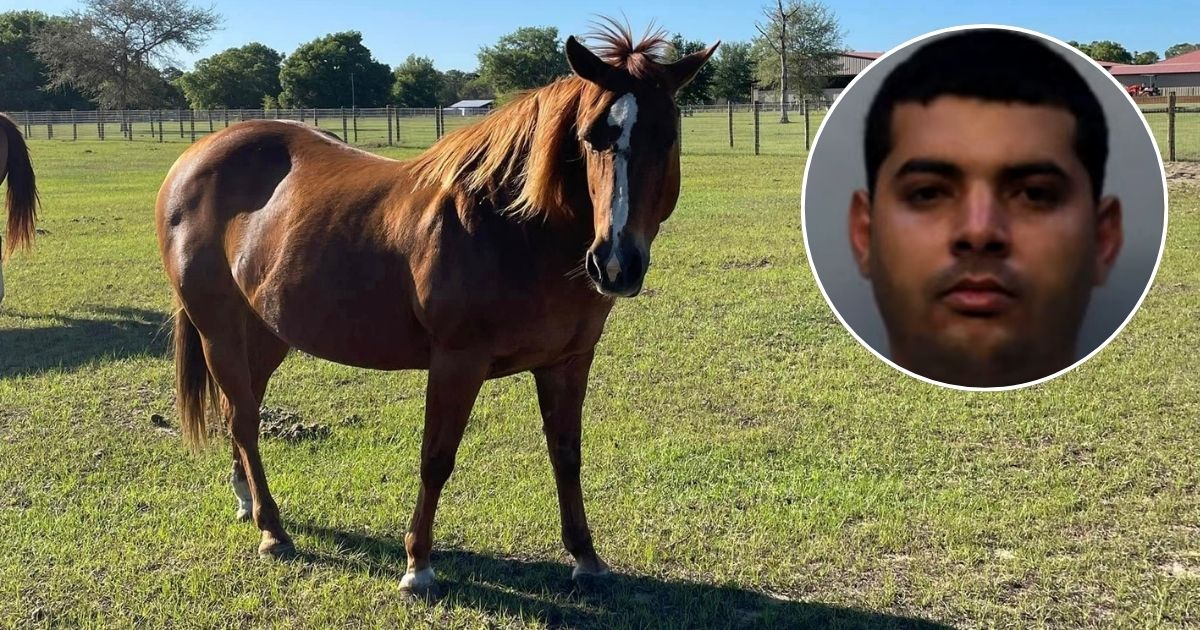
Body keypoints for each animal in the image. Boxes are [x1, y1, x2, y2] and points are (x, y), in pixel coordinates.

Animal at [156, 24, 717, 594]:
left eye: (667, 137)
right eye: (589, 138)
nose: (615, 263)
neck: (512, 230)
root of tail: (194, 157)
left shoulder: (568, 362)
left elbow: (567, 454)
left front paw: (585, 556)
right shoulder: (456, 363)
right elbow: (437, 458)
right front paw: (418, 565)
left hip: (268, 332)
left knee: (239, 411)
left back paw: (248, 501)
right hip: (218, 331)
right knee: (245, 419)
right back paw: (273, 531)